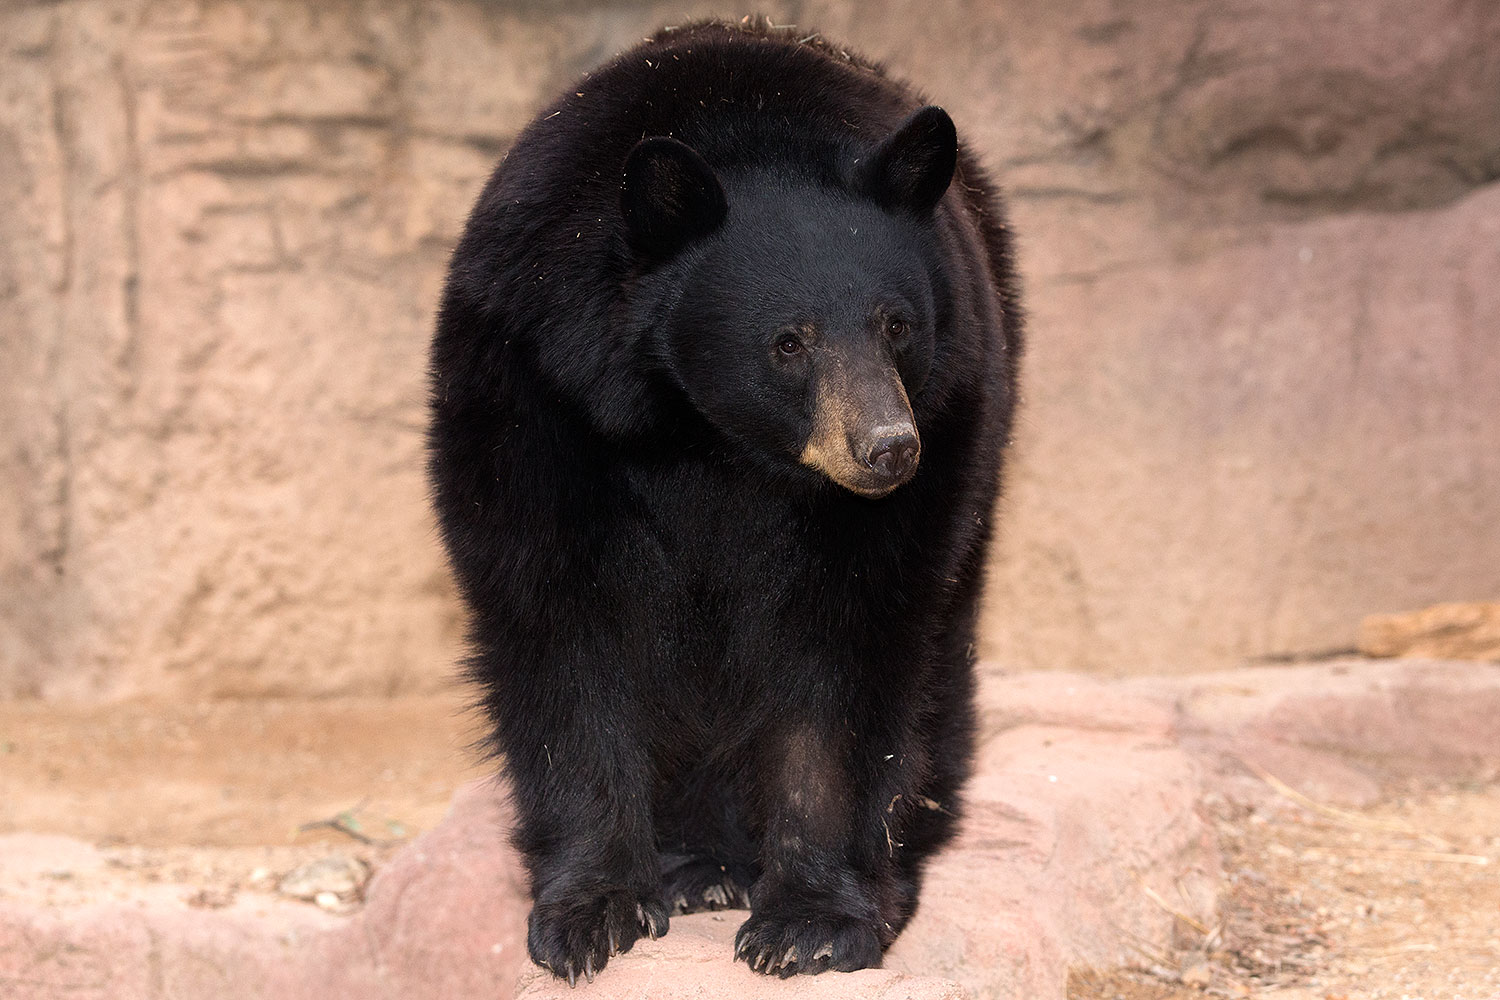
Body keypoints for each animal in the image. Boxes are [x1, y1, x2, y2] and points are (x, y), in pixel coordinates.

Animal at [427, 18, 1021, 983]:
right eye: (788, 342)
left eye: (897, 323)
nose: (888, 448)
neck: (711, 439)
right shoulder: (532, 393)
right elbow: (559, 629)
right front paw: (590, 912)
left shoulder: (943, 409)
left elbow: (853, 651)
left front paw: (811, 922)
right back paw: (696, 864)